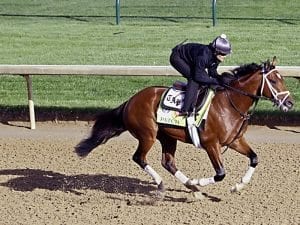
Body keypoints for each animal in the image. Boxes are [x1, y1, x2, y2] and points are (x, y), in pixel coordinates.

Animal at [74, 57, 292, 198]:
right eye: (273, 80)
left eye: (281, 79)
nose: (289, 103)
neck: (230, 103)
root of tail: (130, 101)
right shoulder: (211, 144)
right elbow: (220, 173)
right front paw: (200, 182)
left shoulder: (235, 140)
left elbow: (254, 158)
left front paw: (238, 186)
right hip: (148, 135)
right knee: (139, 158)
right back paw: (165, 184)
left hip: (168, 137)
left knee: (168, 162)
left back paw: (190, 186)